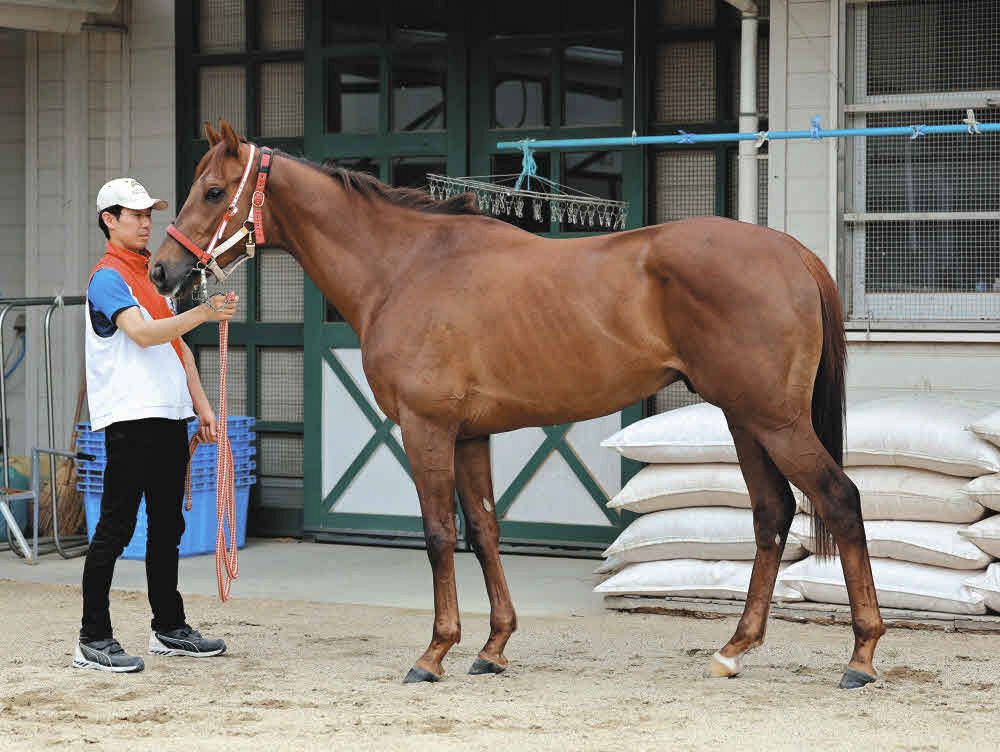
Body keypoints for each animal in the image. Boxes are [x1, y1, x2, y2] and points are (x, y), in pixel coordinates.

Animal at [151, 119, 885, 689]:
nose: (162, 271)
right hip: (744, 418)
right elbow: (484, 529)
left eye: (213, 190)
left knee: (840, 499)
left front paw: (435, 652)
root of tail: (791, 252)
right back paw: (734, 651)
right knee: (772, 513)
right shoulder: (470, 435)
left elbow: (439, 534)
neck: (406, 266)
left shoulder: (427, 430)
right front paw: (493, 646)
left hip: (773, 420)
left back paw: (861, 655)